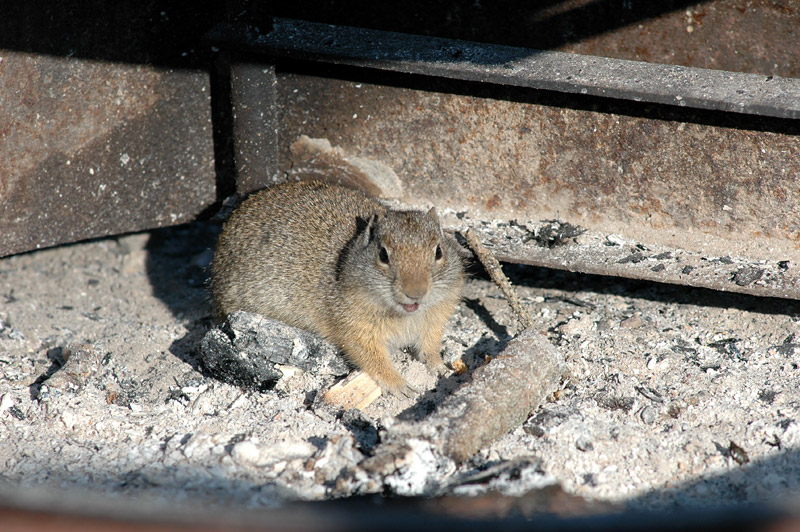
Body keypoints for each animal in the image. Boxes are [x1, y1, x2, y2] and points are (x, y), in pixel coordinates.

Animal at [209, 181, 466, 396]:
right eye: (383, 255)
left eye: (439, 251)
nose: (416, 293)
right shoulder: (356, 331)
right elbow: (375, 361)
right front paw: (401, 386)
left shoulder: (434, 322)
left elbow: (430, 348)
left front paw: (442, 367)